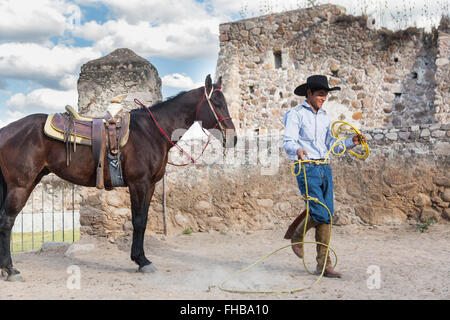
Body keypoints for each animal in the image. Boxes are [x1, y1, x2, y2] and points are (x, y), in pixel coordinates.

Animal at [0, 75, 236, 280]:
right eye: (216, 103)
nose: (233, 137)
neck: (151, 132)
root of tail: (5, 131)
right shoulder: (139, 184)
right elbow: (138, 221)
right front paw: (142, 261)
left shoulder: (150, 185)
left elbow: (143, 220)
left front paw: (140, 258)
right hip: (20, 186)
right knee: (7, 221)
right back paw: (10, 270)